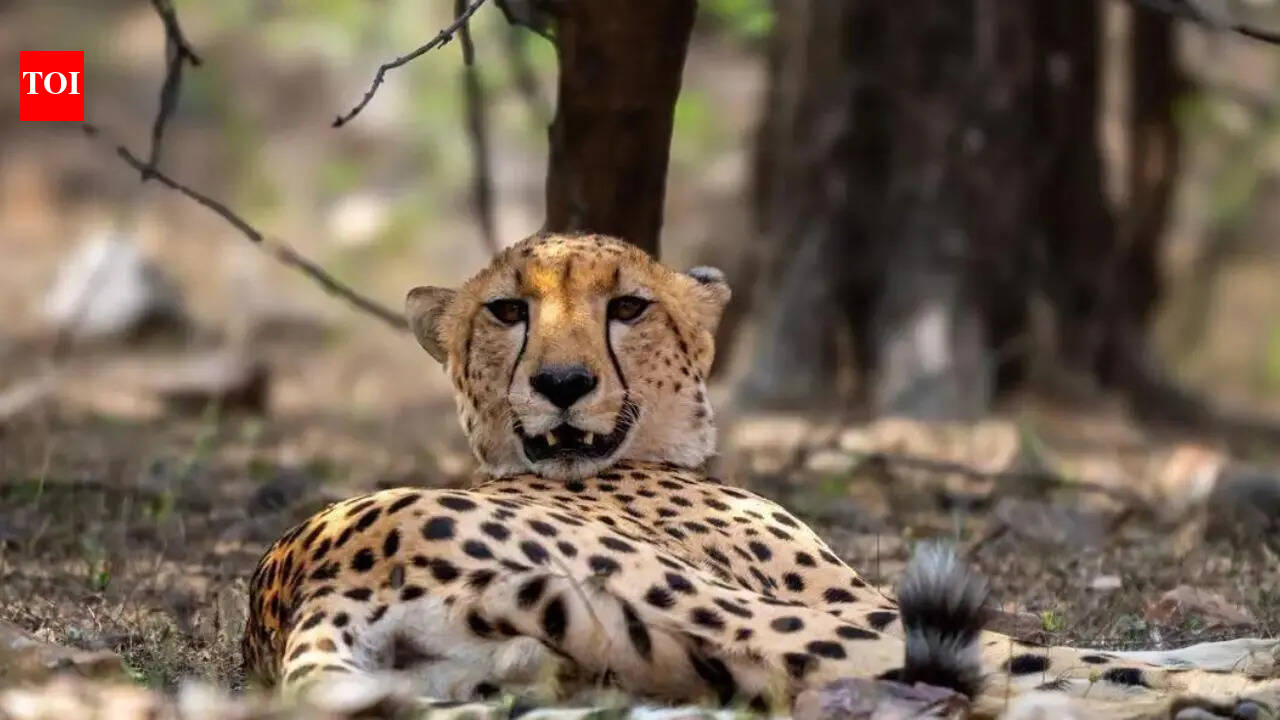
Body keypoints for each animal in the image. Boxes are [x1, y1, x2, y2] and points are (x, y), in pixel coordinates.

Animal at [242, 232, 1278, 719]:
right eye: (505, 312)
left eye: (628, 307)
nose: (562, 384)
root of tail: (303, 579)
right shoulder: (854, 601)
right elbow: (1085, 649)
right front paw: (1247, 661)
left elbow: (1146, 647)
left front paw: (1238, 649)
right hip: (755, 616)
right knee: (1033, 675)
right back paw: (1235, 697)